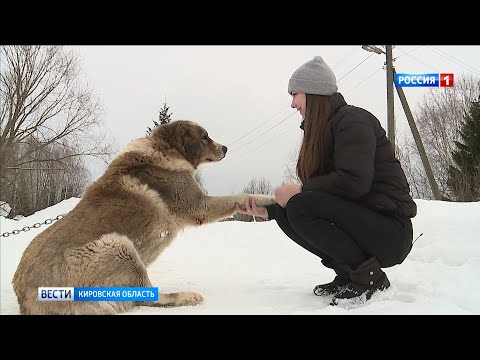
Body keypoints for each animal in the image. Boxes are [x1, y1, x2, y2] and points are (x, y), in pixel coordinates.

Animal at [12, 119, 278, 314]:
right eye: (204, 137)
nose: (225, 148)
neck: (167, 149)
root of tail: (25, 299)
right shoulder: (198, 205)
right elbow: (240, 196)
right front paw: (270, 199)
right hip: (118, 245)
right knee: (148, 297)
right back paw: (186, 296)